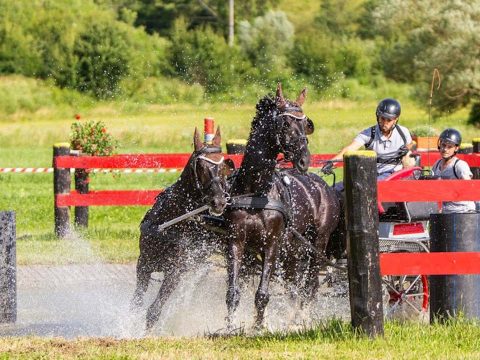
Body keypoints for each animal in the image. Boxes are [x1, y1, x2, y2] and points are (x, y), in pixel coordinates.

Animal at [132, 126, 233, 330]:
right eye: (201, 167)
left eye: (223, 168)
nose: (219, 202)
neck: (168, 224)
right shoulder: (144, 263)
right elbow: (136, 303)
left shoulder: (175, 271)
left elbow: (154, 310)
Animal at [225, 83, 342, 330]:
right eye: (285, 123)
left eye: (306, 124)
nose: (305, 160)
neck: (256, 192)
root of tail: (325, 187)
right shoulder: (236, 242)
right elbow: (233, 291)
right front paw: (230, 326)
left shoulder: (271, 244)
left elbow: (262, 293)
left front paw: (258, 327)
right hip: (292, 251)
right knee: (294, 287)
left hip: (317, 244)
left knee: (310, 285)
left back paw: (302, 318)